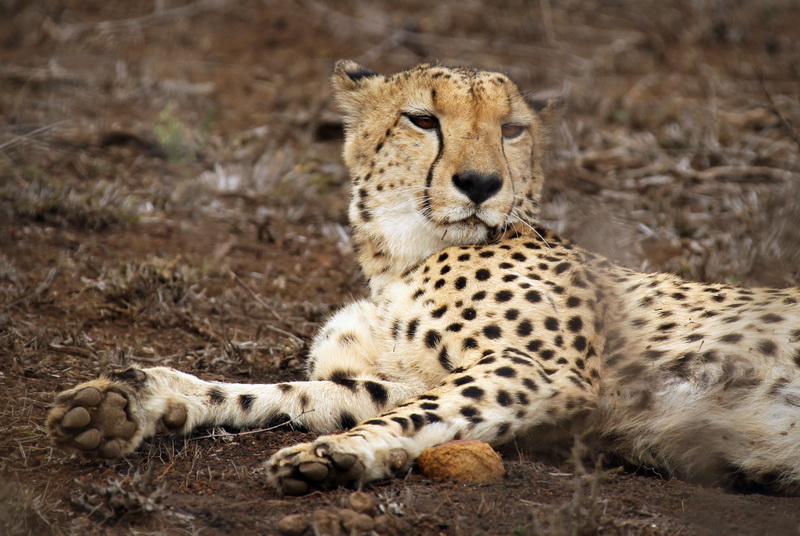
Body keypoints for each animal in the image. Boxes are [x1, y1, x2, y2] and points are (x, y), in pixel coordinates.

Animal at [47, 60, 800, 496]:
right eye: (422, 119)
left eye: (513, 129)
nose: (481, 184)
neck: (404, 254)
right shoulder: (388, 377)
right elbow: (275, 393)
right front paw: (138, 399)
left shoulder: (545, 370)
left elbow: (422, 412)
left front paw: (335, 453)